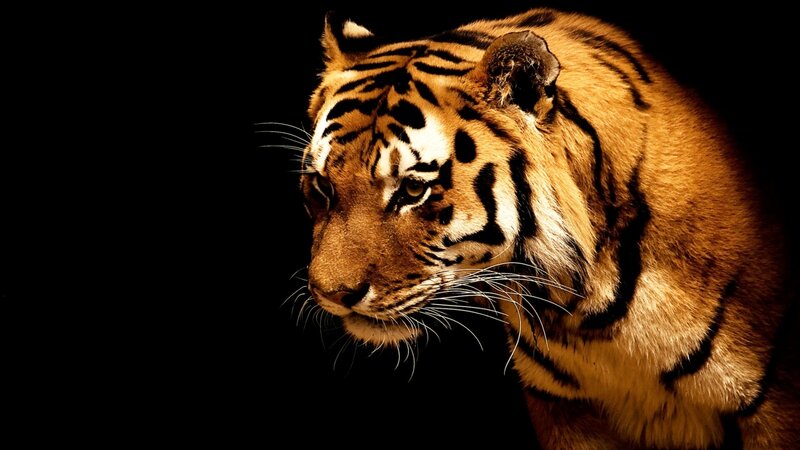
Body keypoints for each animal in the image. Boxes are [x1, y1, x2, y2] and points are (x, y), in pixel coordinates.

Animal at [295, 7, 799, 449]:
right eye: (321, 186)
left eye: (413, 190)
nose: (331, 295)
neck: (585, 310)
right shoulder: (562, 405)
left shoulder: (773, 406)